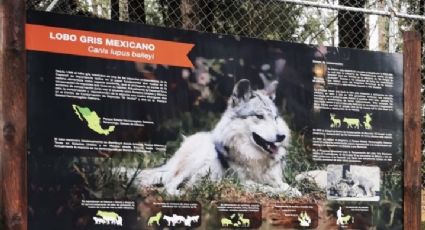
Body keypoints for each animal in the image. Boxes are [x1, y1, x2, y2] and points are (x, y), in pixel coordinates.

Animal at [135, 78, 298, 196]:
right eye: (259, 116)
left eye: (275, 118)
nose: (281, 136)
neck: (254, 157)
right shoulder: (243, 182)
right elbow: (266, 188)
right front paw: (284, 193)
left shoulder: (275, 178)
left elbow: (286, 185)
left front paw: (293, 190)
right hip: (198, 156)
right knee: (168, 186)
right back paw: (182, 194)